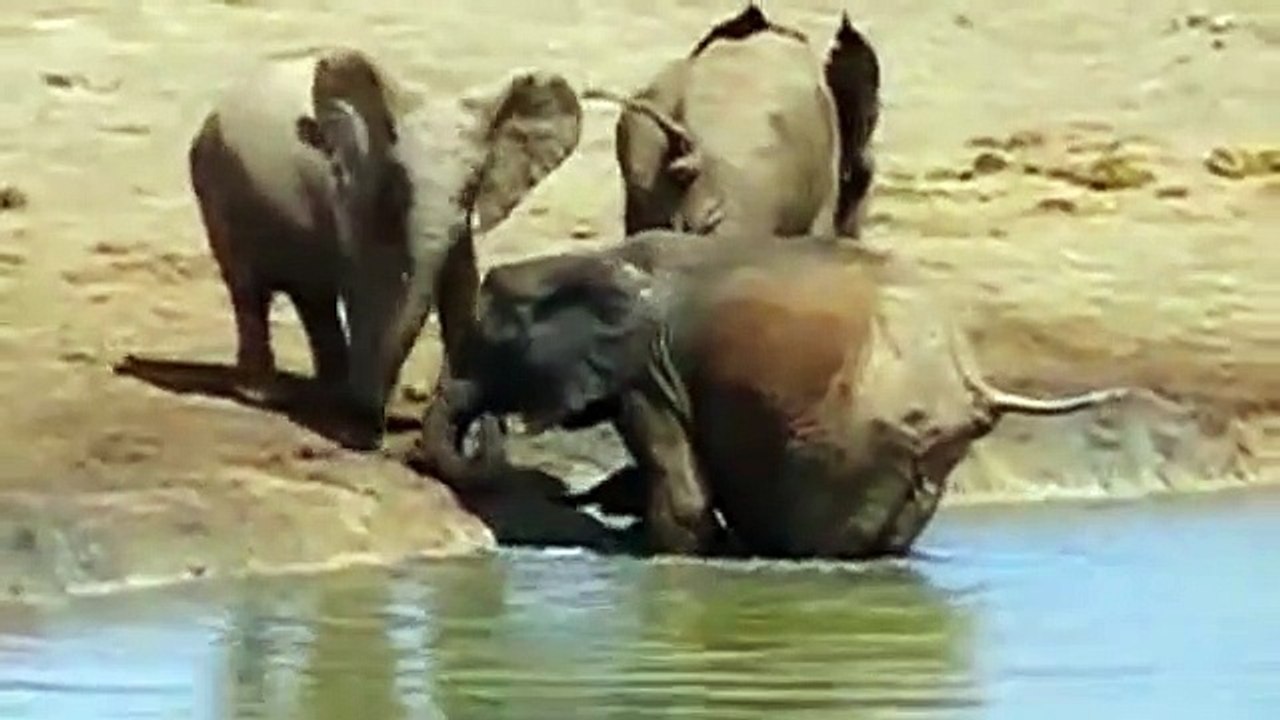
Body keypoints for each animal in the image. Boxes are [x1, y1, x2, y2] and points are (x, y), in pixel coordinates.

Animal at [187, 46, 582, 447]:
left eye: (472, 185)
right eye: (400, 181)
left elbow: (461, 290)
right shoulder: (356, 192)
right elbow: (371, 289)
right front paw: (357, 431)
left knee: (313, 297)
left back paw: (329, 391)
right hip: (214, 183)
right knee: (249, 290)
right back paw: (264, 393)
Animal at [408, 231, 1134, 559]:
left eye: (490, 341)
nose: (490, 427)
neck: (592, 258)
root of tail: (965, 373)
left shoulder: (645, 371)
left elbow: (681, 487)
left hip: (859, 435)